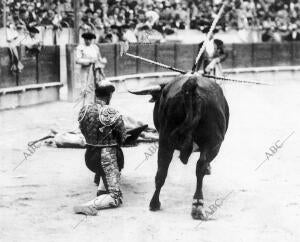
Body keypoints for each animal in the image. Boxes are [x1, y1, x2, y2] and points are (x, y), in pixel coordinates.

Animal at [129, 73, 230, 219]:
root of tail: (192, 85)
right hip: (212, 143)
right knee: (200, 166)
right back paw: (197, 204)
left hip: (166, 141)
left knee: (162, 171)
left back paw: (154, 203)